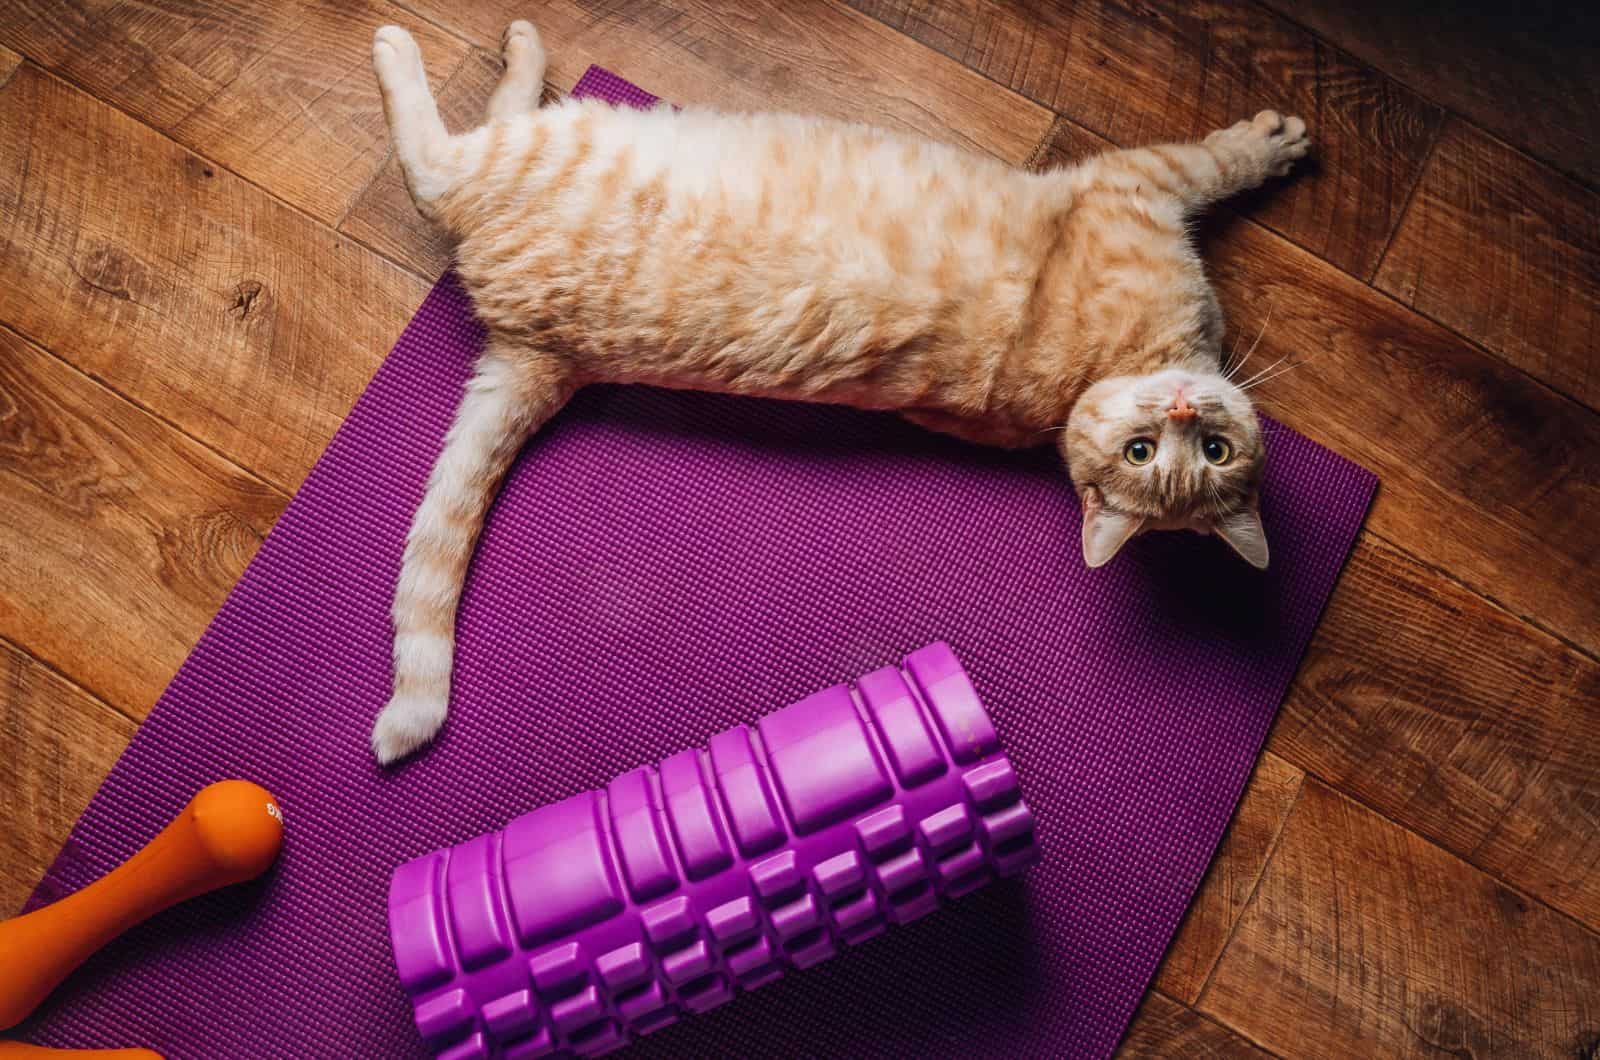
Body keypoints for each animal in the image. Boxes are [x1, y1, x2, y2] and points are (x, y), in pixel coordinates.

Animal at [366, 18, 1312, 765]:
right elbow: (1223, 157)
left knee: (447, 158)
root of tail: (544, 349)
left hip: (535, 158)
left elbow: (1216, 159)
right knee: (437, 163)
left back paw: (477, 50)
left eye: (1208, 453)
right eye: (1148, 450)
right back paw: (452, 48)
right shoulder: (1138, 180)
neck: (1091, 380)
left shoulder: (1135, 188)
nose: (1182, 407)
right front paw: (1274, 143)